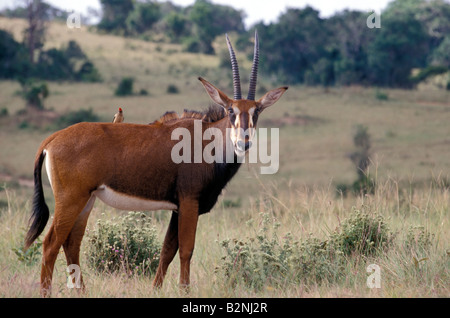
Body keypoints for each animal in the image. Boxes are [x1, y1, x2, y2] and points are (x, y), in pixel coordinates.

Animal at [24, 31, 288, 296]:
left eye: (256, 111)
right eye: (231, 111)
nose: (244, 141)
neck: (208, 139)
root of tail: (52, 139)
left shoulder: (177, 207)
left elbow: (167, 251)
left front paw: (156, 289)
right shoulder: (189, 202)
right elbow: (186, 250)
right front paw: (184, 290)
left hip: (86, 200)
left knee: (71, 244)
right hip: (71, 199)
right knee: (50, 244)